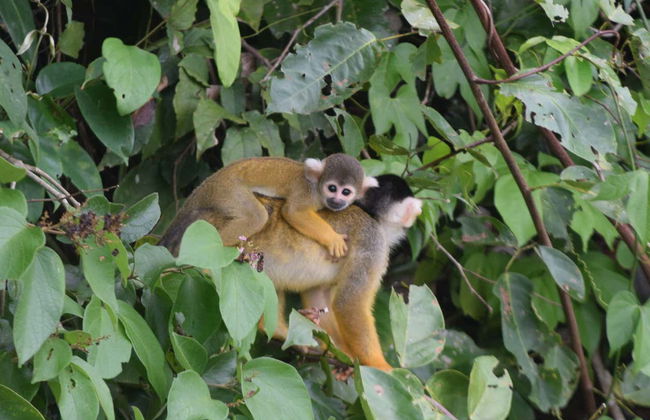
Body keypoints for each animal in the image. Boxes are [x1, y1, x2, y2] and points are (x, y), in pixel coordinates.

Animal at [160, 154, 377, 258]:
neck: (316, 186)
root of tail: (209, 183)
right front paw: (332, 239)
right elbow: (293, 212)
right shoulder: (306, 193)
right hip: (228, 191)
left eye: (346, 192)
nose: (337, 200)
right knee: (256, 217)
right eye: (332, 188)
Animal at [160, 174, 422, 371]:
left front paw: (340, 354)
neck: (372, 216)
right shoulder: (373, 243)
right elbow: (350, 304)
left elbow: (320, 297)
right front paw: (380, 366)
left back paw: (276, 329)